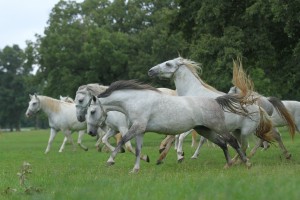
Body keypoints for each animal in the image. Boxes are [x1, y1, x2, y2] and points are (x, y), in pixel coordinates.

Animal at [94, 79, 274, 172]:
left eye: (92, 110)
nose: (91, 131)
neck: (137, 100)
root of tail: (215, 101)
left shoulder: (136, 128)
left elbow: (122, 141)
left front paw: (110, 160)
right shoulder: (140, 131)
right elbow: (137, 149)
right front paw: (136, 168)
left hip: (218, 128)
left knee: (233, 142)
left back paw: (246, 163)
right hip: (205, 130)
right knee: (223, 143)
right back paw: (229, 164)